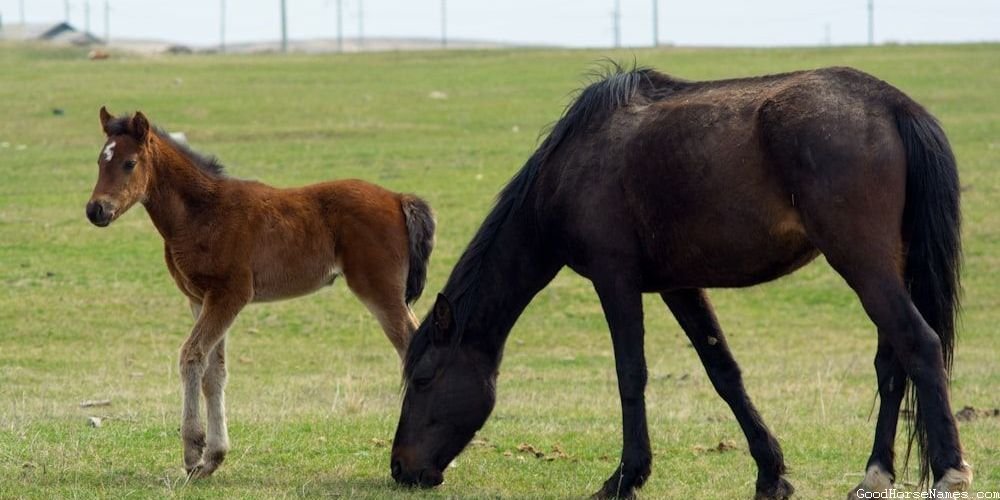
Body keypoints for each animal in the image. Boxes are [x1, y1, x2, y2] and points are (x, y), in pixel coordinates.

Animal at [83, 107, 434, 478]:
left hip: (379, 290)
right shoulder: (200, 299)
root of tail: (399, 198)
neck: (202, 211)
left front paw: (193, 452)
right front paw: (213, 457)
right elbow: (214, 372)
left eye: (130, 163)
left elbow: (191, 355)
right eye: (100, 161)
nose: (96, 210)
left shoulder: (230, 295)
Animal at [388, 65, 968, 496]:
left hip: (862, 263)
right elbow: (723, 372)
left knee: (918, 343)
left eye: (424, 380)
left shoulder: (615, 280)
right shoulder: (678, 286)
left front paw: (625, 477)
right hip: (886, 266)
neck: (569, 169)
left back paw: (950, 471)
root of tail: (894, 105)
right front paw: (770, 473)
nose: (401, 470)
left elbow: (630, 374)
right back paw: (875, 475)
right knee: (891, 362)